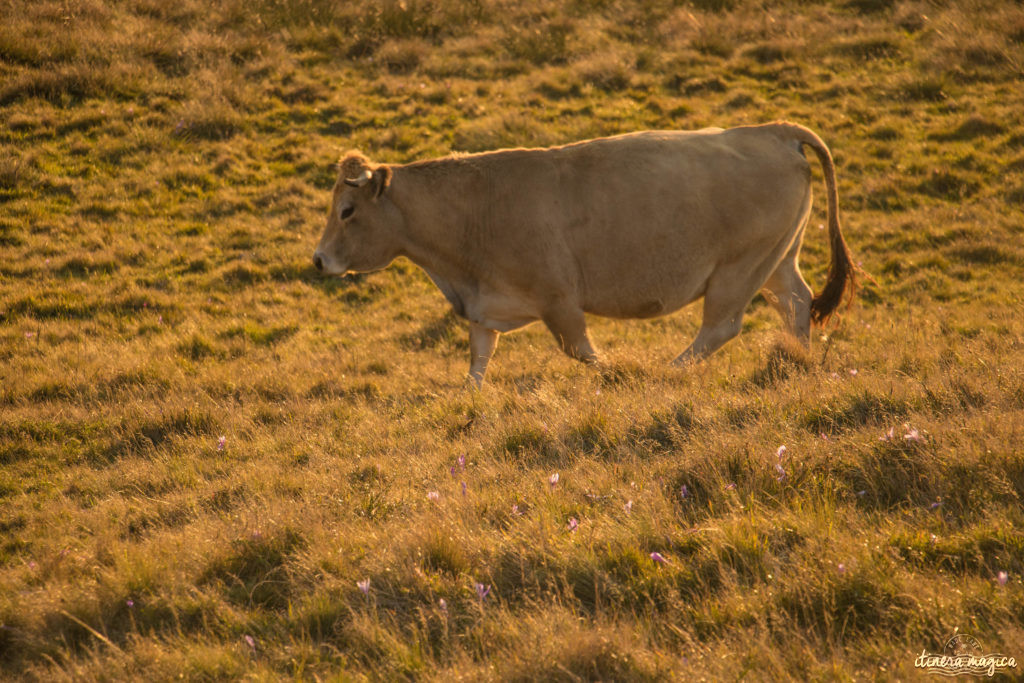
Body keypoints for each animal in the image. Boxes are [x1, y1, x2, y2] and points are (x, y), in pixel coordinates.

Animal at [311, 122, 856, 387]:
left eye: (347, 210)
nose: (318, 259)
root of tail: (771, 131)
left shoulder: (559, 301)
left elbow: (584, 352)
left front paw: (620, 374)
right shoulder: (484, 307)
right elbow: (478, 362)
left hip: (737, 270)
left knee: (720, 327)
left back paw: (667, 371)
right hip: (777, 261)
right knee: (796, 302)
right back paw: (798, 360)